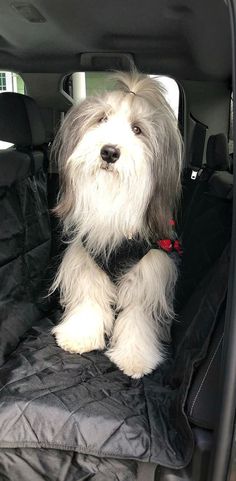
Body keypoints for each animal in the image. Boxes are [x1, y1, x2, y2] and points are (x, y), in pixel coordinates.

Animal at [50, 72, 183, 378]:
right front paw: (79, 337)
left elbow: (137, 317)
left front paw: (136, 358)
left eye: (137, 129)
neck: (113, 200)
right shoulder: (87, 263)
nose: (109, 152)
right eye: (101, 119)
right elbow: (89, 299)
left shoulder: (147, 275)